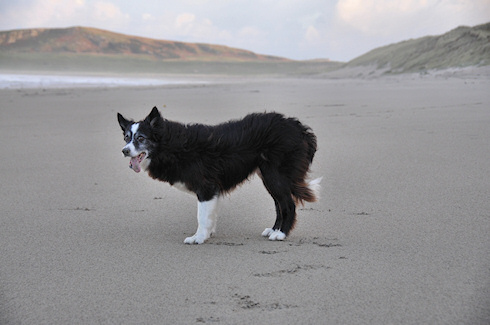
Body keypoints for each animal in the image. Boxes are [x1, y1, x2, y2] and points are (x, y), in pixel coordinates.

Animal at [118, 107, 322, 243]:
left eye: (141, 138)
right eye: (127, 138)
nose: (124, 151)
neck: (171, 145)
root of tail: (299, 128)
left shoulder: (206, 188)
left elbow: (201, 216)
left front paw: (198, 237)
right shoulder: (211, 190)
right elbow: (209, 215)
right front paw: (206, 234)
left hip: (274, 176)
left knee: (288, 204)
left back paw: (281, 234)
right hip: (269, 177)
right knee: (280, 205)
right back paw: (273, 230)